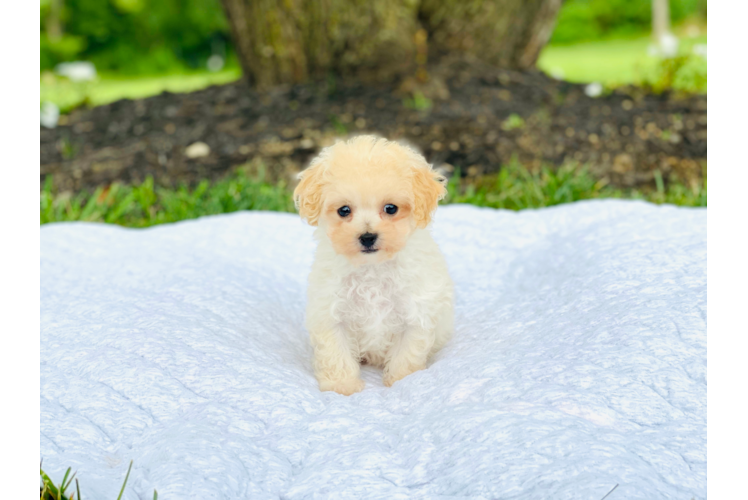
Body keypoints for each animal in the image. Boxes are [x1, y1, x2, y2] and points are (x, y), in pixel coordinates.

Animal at [296, 136, 452, 394]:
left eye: (391, 208)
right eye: (344, 210)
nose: (367, 237)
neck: (372, 268)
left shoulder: (415, 314)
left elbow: (406, 356)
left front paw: (402, 382)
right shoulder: (331, 314)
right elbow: (336, 354)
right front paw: (342, 387)